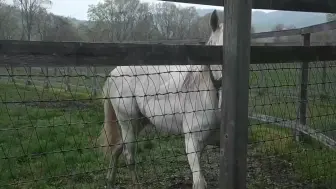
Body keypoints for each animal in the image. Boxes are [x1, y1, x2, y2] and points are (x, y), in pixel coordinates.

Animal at [100, 9, 224, 189]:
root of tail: (114, 73)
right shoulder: (192, 142)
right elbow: (199, 182)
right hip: (128, 122)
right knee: (129, 155)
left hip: (139, 122)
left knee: (117, 149)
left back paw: (110, 180)